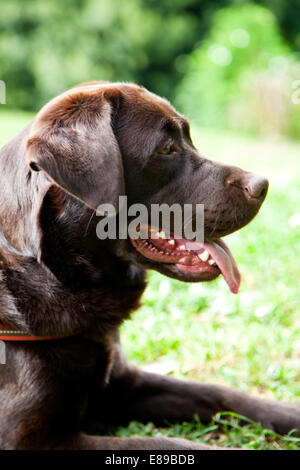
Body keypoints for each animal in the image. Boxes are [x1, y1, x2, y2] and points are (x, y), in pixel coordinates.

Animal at [0, 82, 298, 450]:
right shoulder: (34, 440)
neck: (54, 274)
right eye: (167, 148)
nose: (263, 185)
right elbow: (171, 444)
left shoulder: (124, 383)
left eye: (189, 138)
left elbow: (222, 395)